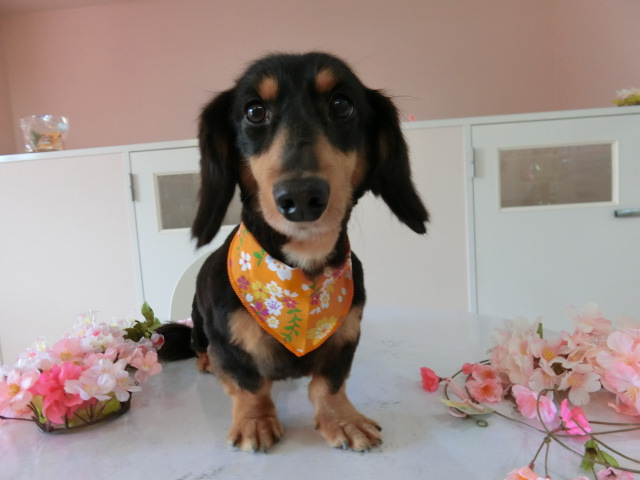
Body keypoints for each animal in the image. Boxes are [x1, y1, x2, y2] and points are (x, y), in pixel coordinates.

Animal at [157, 52, 428, 453]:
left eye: (342, 104)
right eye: (254, 111)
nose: (301, 197)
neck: (301, 273)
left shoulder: (346, 338)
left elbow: (328, 385)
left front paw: (343, 420)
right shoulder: (229, 344)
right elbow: (249, 385)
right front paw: (255, 421)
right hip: (198, 324)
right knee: (200, 347)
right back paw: (207, 364)